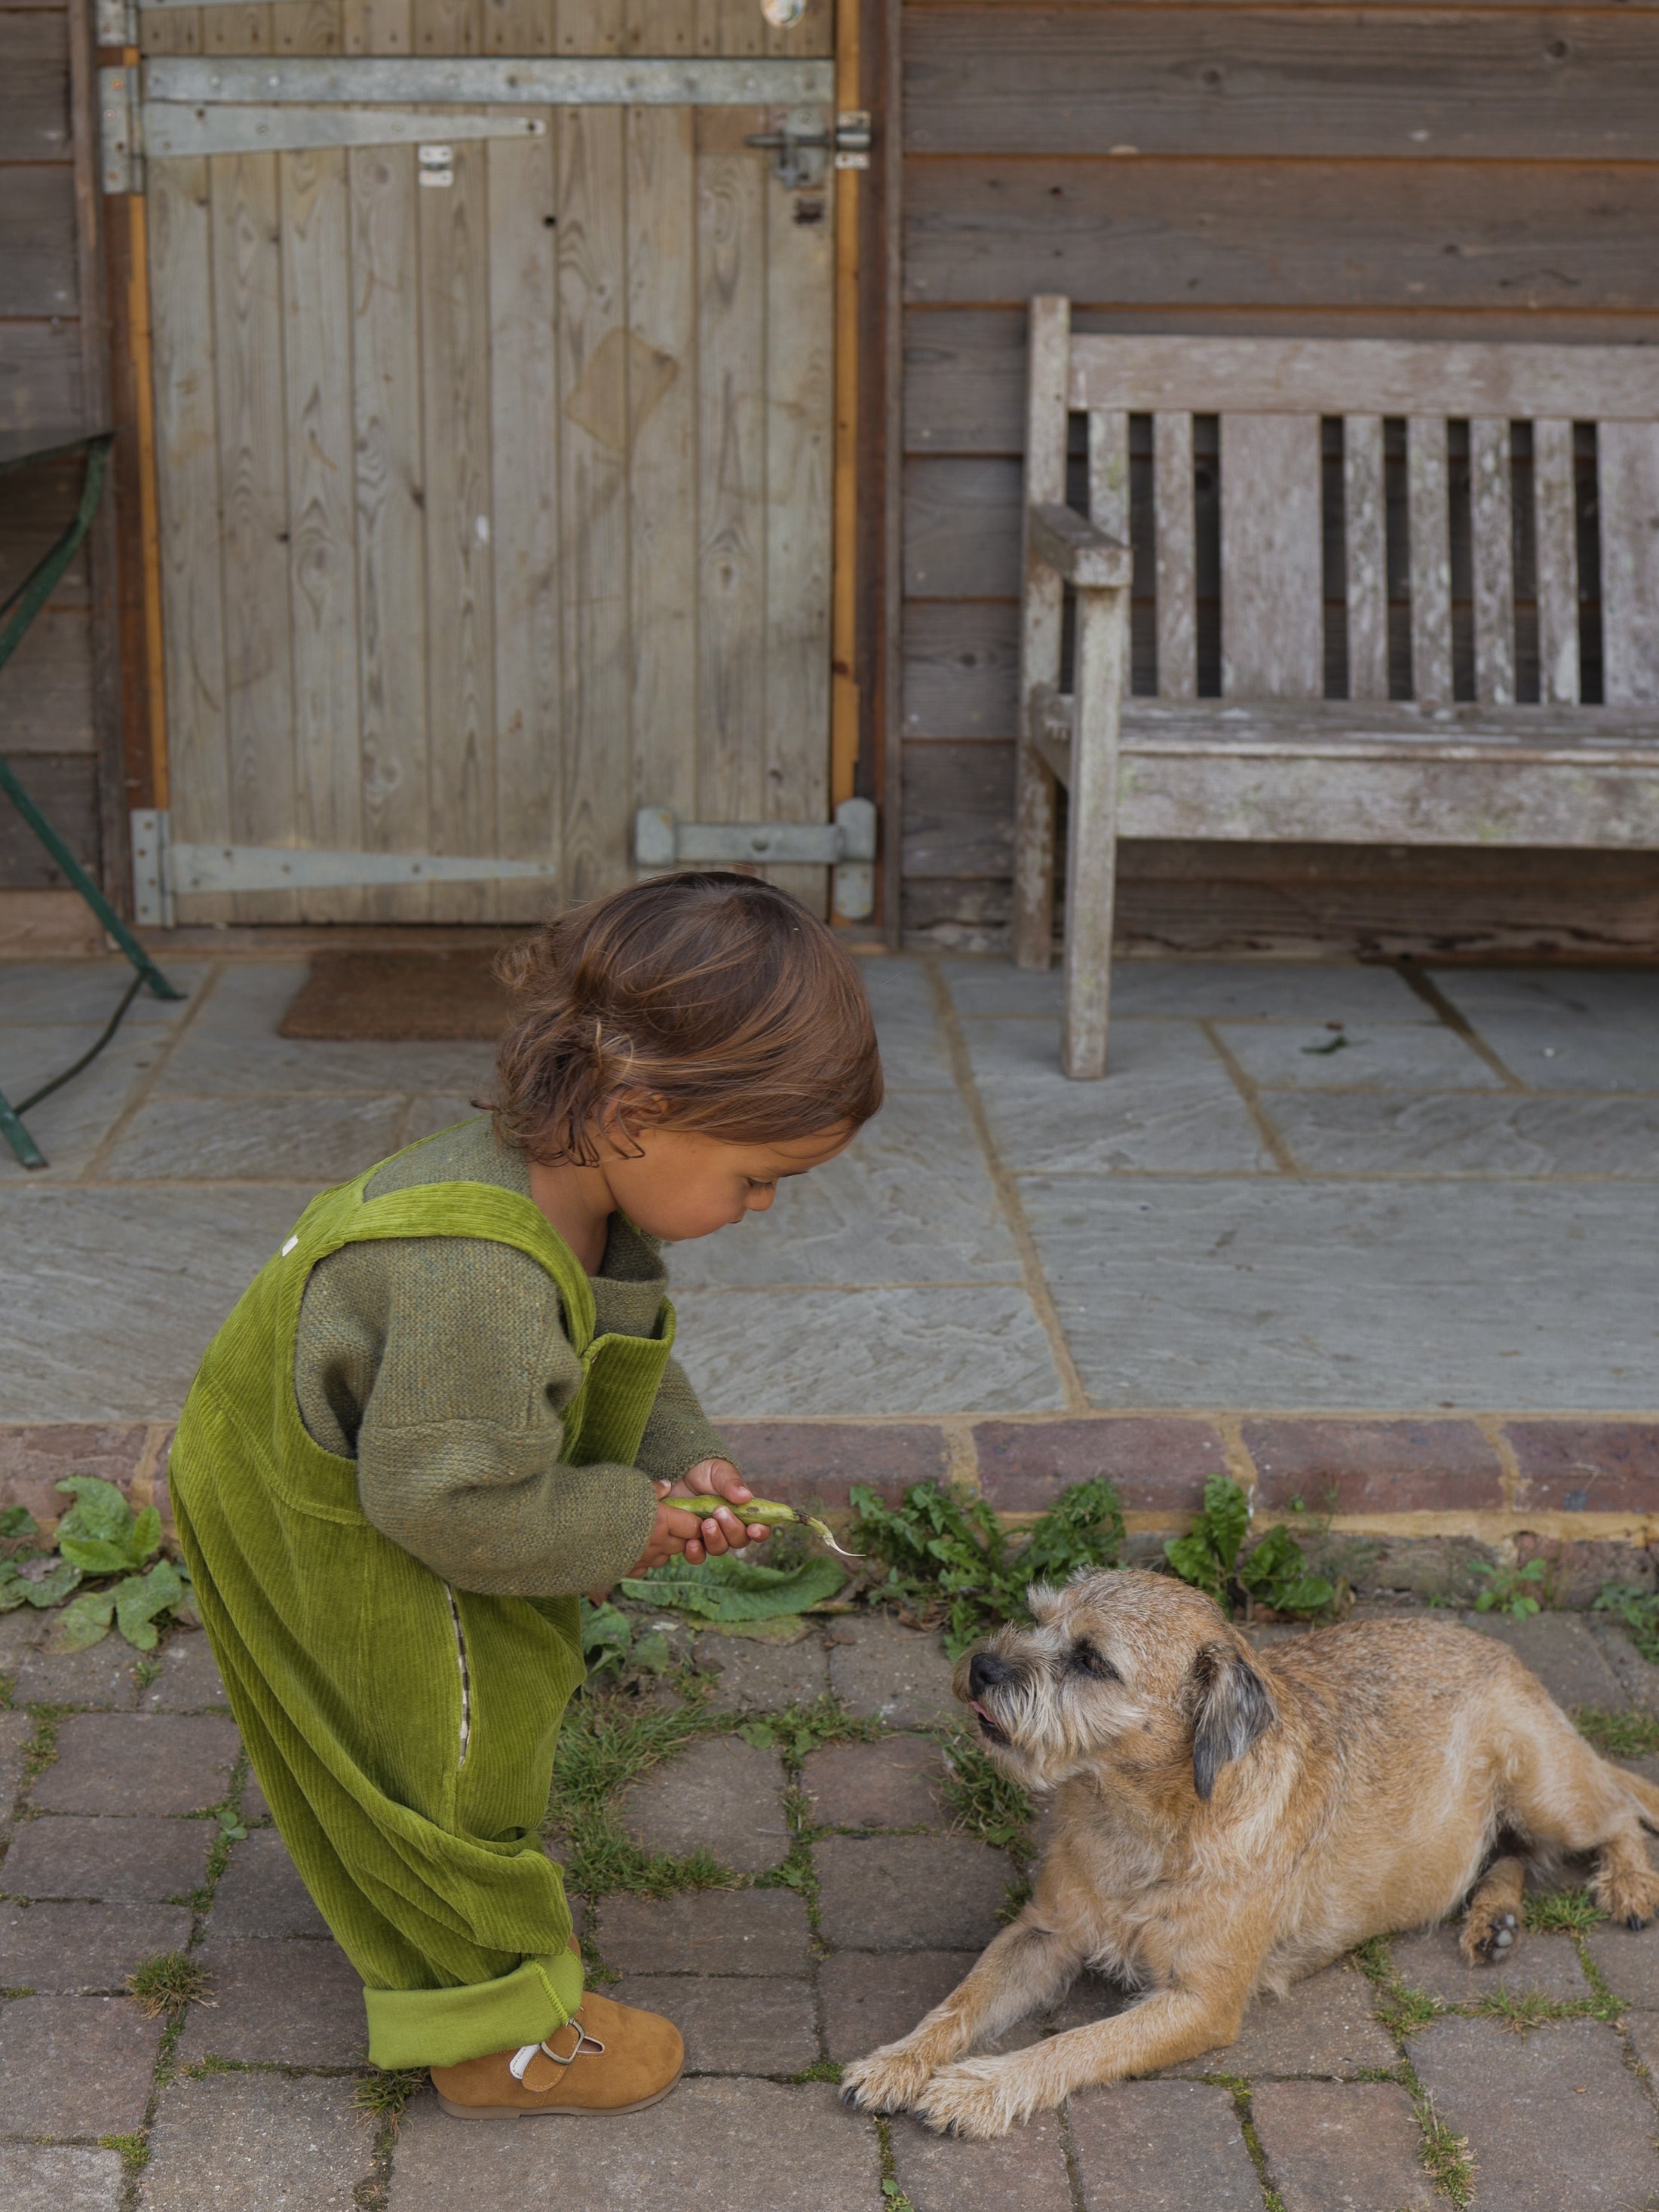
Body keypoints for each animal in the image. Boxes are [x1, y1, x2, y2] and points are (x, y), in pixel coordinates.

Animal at [845, 1566, 1659, 2132]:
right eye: (1039, 1620)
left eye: (1092, 1661)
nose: (982, 1666)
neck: (1139, 1820)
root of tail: (1505, 1653)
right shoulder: (1041, 1934)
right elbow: (960, 2001)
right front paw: (898, 2061)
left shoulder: (1199, 2002)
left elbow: (1076, 2045)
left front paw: (983, 2087)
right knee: (1512, 1853)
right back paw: (1493, 1920)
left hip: (1549, 1791)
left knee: (1616, 1812)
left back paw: (1628, 1886)